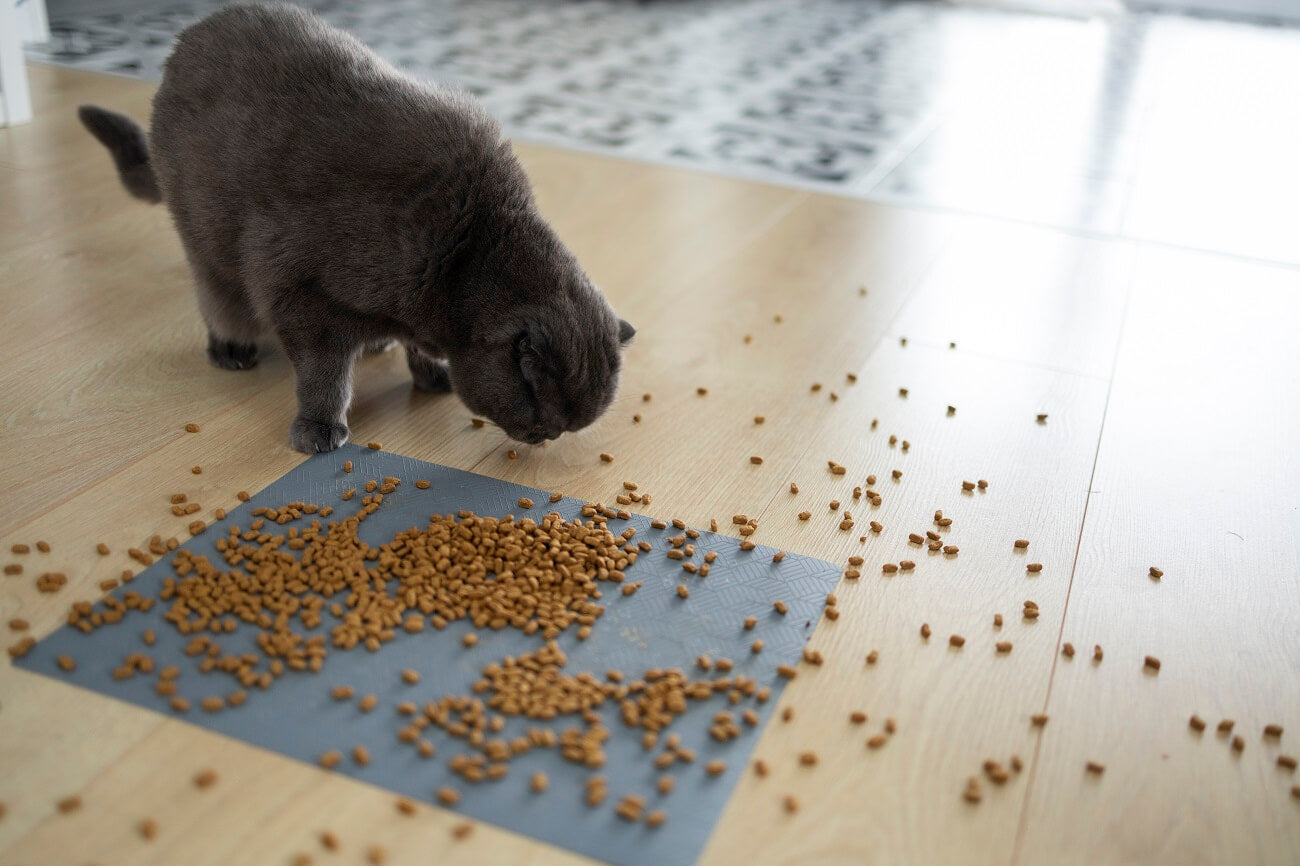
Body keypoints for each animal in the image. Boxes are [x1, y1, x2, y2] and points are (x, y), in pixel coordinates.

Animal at [76, 3, 634, 452]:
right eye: (541, 409)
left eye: (565, 425)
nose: (546, 437)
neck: (462, 256)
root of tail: (190, 35)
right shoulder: (298, 288)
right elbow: (324, 372)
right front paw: (319, 429)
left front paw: (431, 373)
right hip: (207, 239)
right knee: (218, 295)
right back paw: (231, 347)